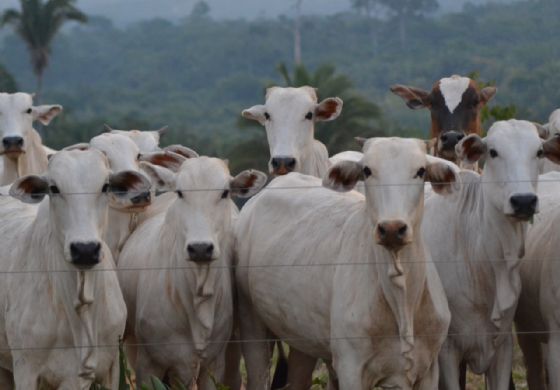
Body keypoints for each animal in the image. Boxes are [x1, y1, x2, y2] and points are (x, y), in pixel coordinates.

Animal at [236, 137, 460, 390]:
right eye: (367, 170)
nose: (392, 228)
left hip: (303, 341)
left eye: (421, 171)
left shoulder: (428, 369)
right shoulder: (350, 367)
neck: (402, 301)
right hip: (252, 326)